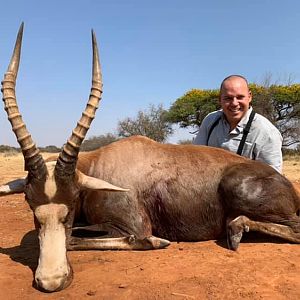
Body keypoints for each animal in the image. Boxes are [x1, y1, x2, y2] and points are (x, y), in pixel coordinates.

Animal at [0, 24, 300, 292]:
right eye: (29, 200)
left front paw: (158, 242)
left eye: (73, 199)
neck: (98, 165)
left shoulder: (132, 225)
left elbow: (81, 238)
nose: (51, 281)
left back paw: (237, 229)